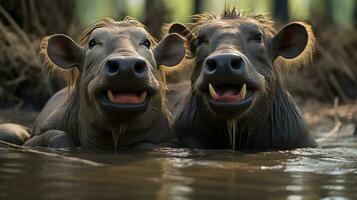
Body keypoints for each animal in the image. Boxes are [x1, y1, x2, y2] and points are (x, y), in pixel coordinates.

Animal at [0, 17, 186, 150]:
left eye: (146, 43)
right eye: (92, 43)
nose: (126, 65)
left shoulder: (170, 141)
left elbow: (145, 145)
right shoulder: (36, 138)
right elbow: (59, 137)